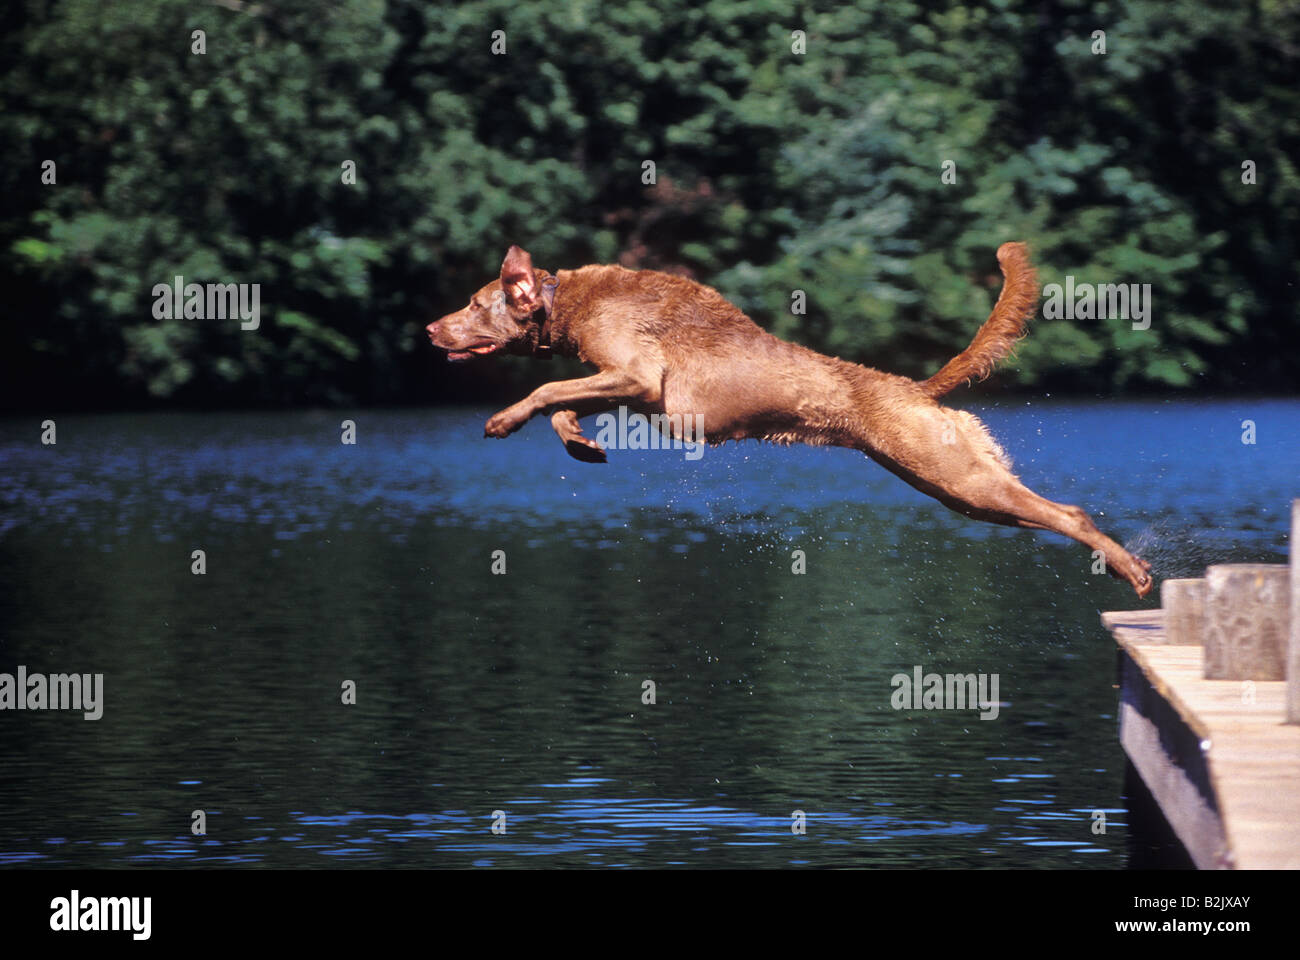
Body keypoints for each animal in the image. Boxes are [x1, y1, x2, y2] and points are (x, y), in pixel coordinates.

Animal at [428, 243, 1159, 595]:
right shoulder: (628, 390)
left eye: (474, 303)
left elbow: (548, 388)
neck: (566, 301)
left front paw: (503, 420)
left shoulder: (637, 376)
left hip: (959, 477)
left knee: (1072, 514)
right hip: (960, 489)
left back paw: (1132, 571)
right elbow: (563, 404)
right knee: (1049, 513)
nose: (431, 328)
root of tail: (916, 387)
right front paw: (581, 445)